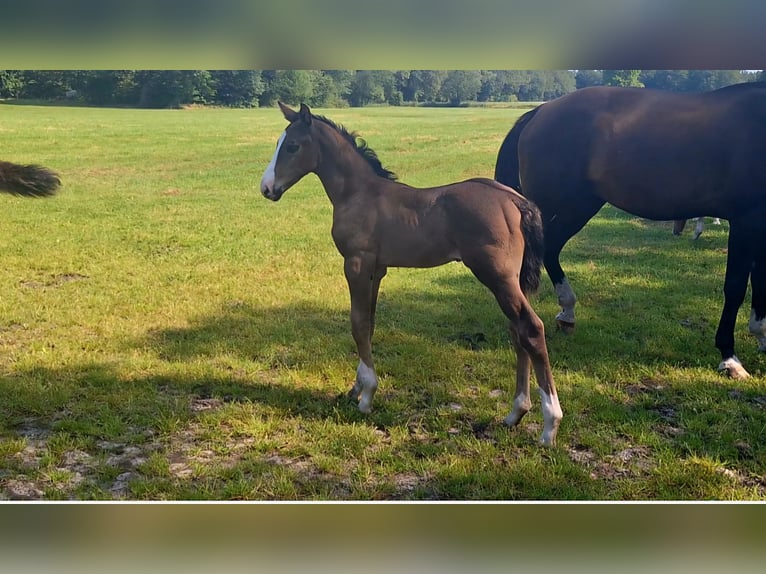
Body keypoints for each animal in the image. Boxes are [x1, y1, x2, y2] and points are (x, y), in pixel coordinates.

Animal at [260, 102, 564, 446]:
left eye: (293, 146)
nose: (266, 188)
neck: (359, 194)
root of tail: (515, 199)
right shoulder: (377, 270)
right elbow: (369, 323)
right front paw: (356, 388)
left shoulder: (356, 264)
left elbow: (357, 323)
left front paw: (367, 395)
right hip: (512, 281)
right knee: (518, 332)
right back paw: (515, 413)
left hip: (497, 277)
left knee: (531, 328)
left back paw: (549, 425)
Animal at [496, 82, 766, 382]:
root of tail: (540, 111)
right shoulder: (745, 221)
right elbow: (736, 288)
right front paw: (730, 358)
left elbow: (761, 283)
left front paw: (761, 337)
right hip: (563, 206)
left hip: (579, 205)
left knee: (549, 251)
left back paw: (565, 313)